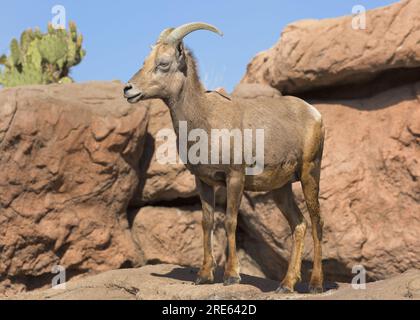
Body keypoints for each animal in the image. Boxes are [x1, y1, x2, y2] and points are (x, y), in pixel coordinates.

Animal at [123, 21, 326, 292]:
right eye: (145, 60)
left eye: (163, 63)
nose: (128, 89)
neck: (205, 120)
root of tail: (314, 114)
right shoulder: (204, 182)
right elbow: (207, 222)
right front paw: (203, 276)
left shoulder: (234, 178)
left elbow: (230, 221)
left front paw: (231, 276)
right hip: (280, 189)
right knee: (299, 224)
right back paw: (286, 285)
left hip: (309, 174)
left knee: (316, 222)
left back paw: (316, 285)